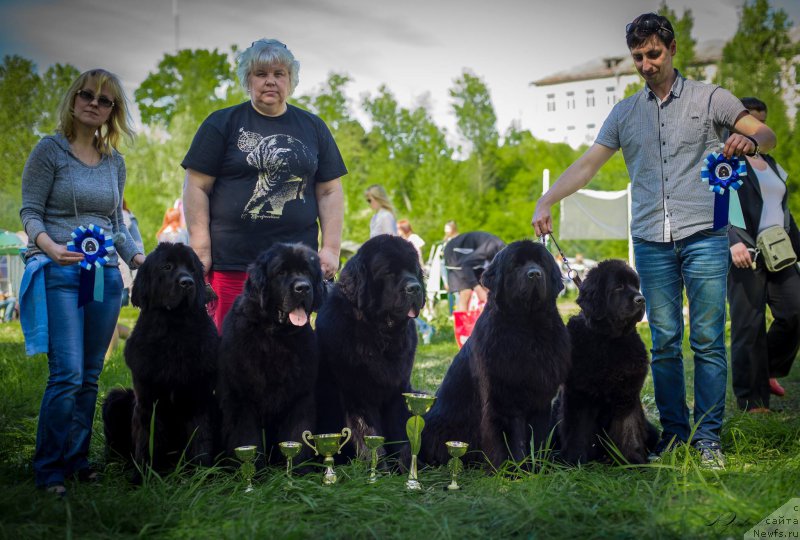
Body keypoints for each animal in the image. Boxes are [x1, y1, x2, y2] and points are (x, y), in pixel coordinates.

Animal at [104, 243, 222, 470]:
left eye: (192, 269)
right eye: (166, 267)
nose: (187, 283)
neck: (173, 329)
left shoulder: (199, 396)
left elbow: (200, 439)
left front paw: (202, 473)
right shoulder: (148, 400)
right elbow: (147, 440)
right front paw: (145, 474)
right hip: (116, 399)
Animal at [216, 243, 324, 466]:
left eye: (308, 272)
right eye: (281, 272)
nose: (303, 288)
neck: (276, 336)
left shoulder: (300, 396)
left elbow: (296, 435)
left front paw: (298, 471)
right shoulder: (241, 398)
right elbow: (246, 437)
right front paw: (252, 471)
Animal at [314, 235, 428, 460]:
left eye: (413, 270)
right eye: (388, 272)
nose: (415, 287)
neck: (381, 334)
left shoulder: (400, 390)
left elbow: (402, 436)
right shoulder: (357, 395)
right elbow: (368, 436)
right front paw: (378, 466)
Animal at [422, 240, 572, 468]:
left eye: (541, 264)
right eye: (516, 265)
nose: (534, 274)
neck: (528, 328)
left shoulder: (541, 399)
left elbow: (536, 436)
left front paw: (536, 466)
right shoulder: (502, 396)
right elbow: (507, 436)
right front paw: (511, 468)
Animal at [560, 258, 660, 464]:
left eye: (635, 286)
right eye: (618, 286)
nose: (641, 299)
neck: (608, 340)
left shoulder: (626, 394)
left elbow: (629, 430)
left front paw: (633, 461)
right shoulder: (579, 396)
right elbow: (577, 432)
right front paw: (574, 461)